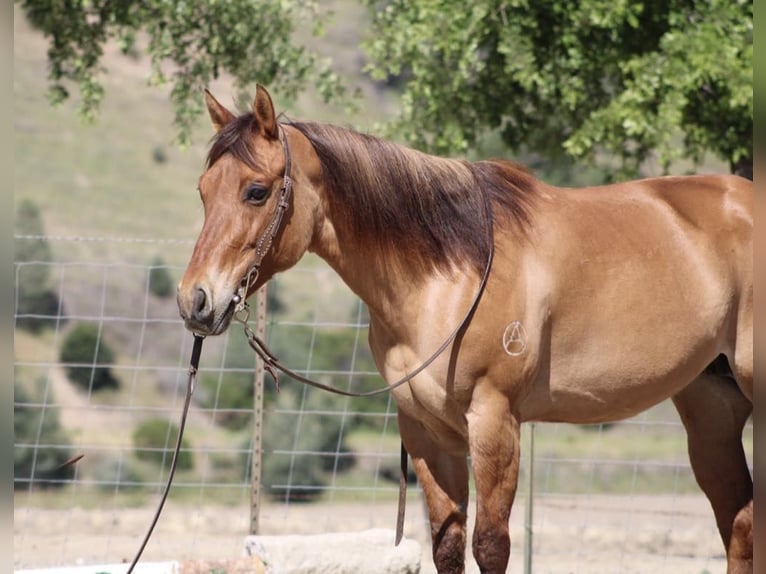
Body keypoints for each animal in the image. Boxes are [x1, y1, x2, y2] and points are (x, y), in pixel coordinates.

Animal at [177, 86, 753, 574]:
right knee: (738, 519)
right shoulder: (427, 433)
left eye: (256, 191)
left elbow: (491, 545)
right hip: (711, 407)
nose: (194, 300)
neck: (448, 271)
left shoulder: (494, 421)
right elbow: (448, 546)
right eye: (202, 190)